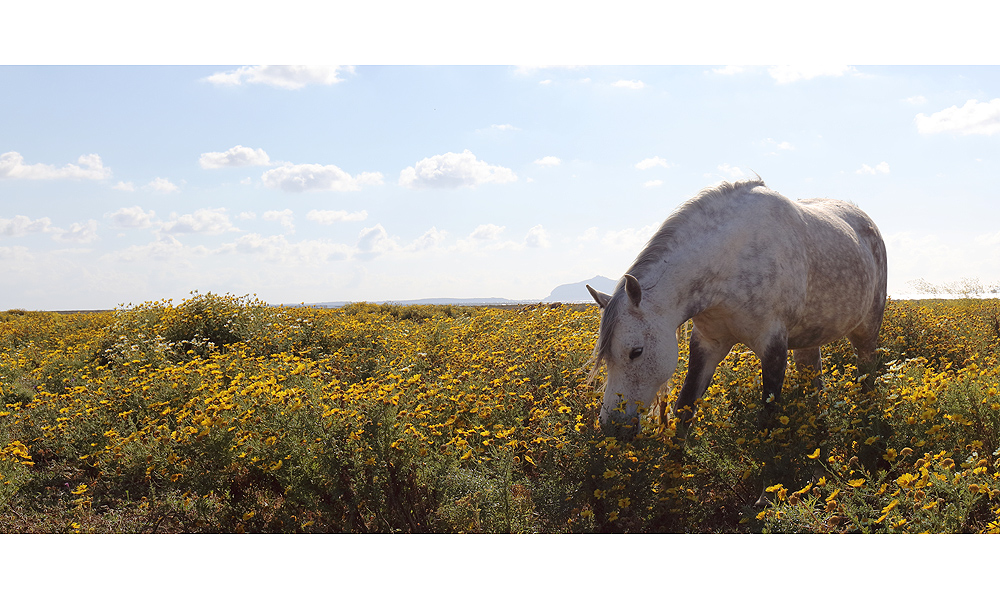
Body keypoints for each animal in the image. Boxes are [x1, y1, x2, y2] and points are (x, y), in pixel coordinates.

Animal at [588, 176, 888, 442]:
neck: (729, 261)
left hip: (866, 332)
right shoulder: (708, 343)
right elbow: (685, 409)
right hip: (808, 339)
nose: (612, 427)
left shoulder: (773, 346)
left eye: (636, 352)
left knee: (867, 377)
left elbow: (768, 419)